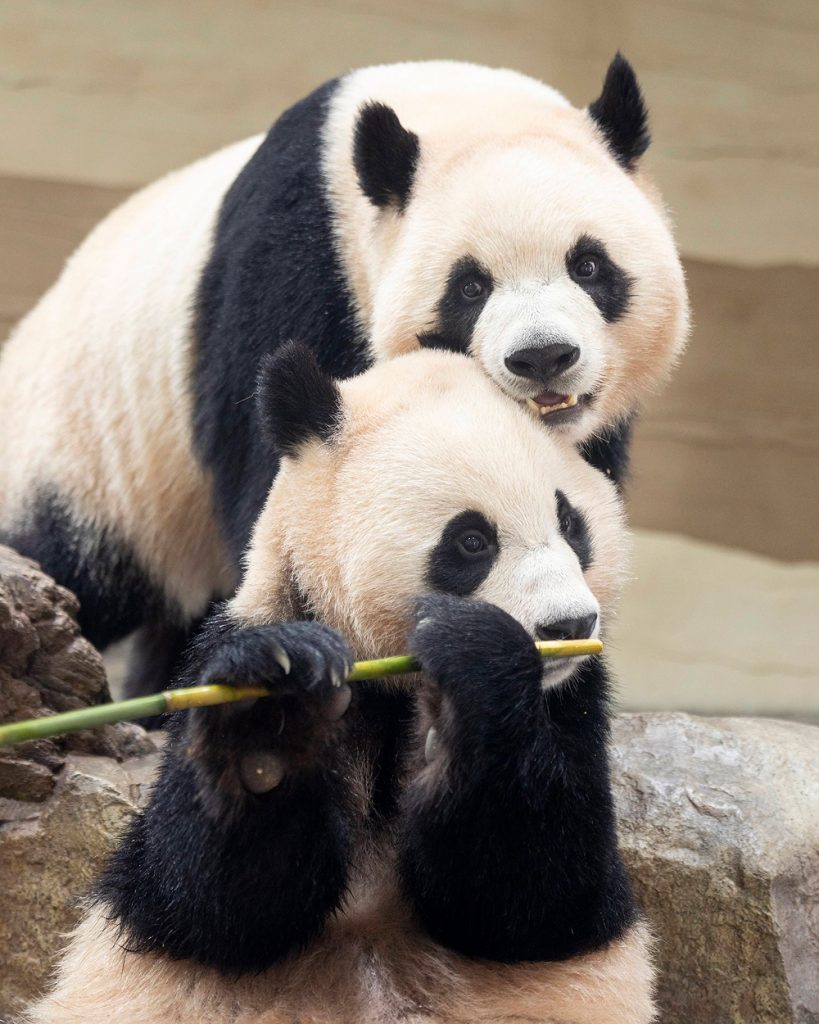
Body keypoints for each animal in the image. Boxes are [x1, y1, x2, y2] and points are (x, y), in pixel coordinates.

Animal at [0, 56, 688, 700]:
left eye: (589, 265)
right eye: (470, 287)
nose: (542, 356)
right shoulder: (295, 267)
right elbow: (281, 472)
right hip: (89, 466)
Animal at [24, 346, 653, 1024]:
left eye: (572, 523)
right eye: (471, 540)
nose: (569, 625)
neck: (392, 680)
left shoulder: (573, 701)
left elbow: (541, 898)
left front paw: (476, 660)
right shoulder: (241, 634)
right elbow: (202, 902)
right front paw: (272, 714)